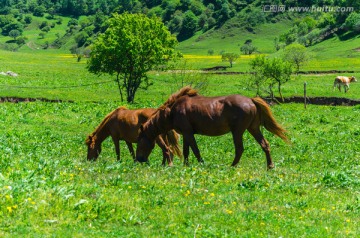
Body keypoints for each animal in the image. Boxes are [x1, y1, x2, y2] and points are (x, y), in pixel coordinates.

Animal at [136, 86, 290, 170]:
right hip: (253, 128)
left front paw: (202, 164)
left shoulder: (188, 133)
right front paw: (186, 166)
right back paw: (270, 166)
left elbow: (195, 150)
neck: (172, 111)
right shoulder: (186, 133)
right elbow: (186, 152)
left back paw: (232, 166)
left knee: (239, 149)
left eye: (139, 141)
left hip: (238, 131)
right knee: (265, 144)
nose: (139, 159)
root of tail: (251, 100)